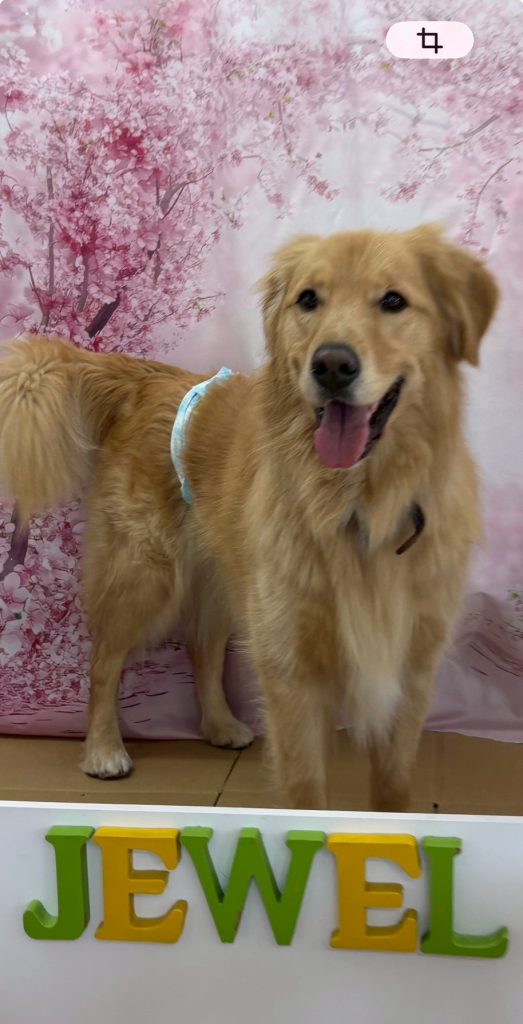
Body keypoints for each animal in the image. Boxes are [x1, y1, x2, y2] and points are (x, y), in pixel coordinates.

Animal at [0, 226, 498, 811]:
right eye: (309, 299)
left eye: (394, 301)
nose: (332, 365)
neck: (358, 500)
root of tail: (145, 378)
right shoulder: (289, 663)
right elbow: (306, 793)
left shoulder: (409, 664)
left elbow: (393, 791)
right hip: (145, 575)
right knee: (103, 660)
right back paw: (103, 750)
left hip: (222, 577)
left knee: (203, 647)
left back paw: (219, 725)